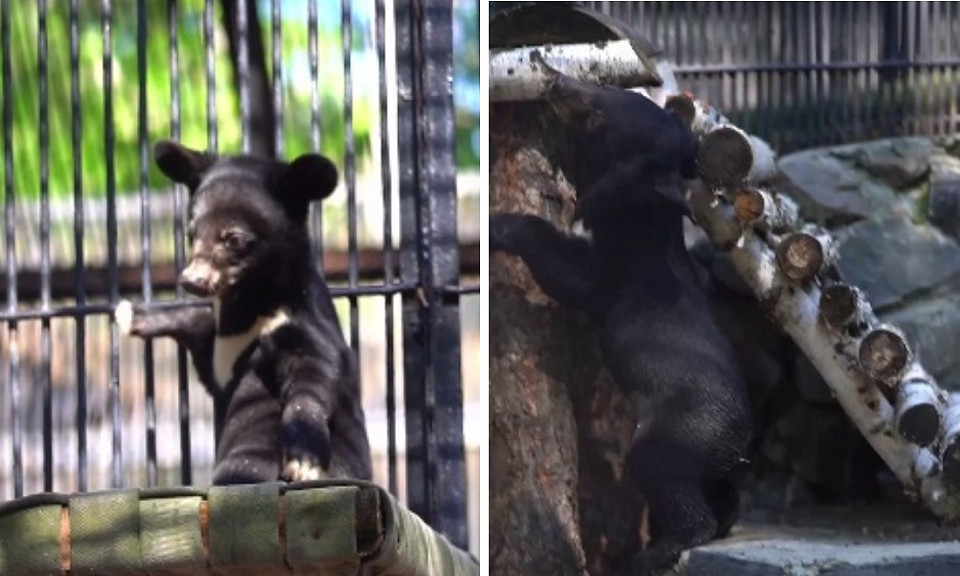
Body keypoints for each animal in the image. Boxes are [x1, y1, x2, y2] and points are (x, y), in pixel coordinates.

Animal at [118, 142, 374, 484]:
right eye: (191, 234)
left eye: (233, 240)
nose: (192, 281)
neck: (248, 305)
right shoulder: (220, 355)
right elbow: (199, 331)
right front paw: (128, 313)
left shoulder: (298, 320)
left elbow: (313, 372)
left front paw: (303, 462)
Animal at [492, 74, 752, 572]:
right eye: (605, 90)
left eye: (599, 114)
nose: (557, 80)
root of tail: (738, 437)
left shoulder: (615, 268)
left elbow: (566, 271)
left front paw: (500, 226)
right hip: (705, 457)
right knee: (722, 494)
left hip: (674, 435)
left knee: (666, 483)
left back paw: (653, 553)